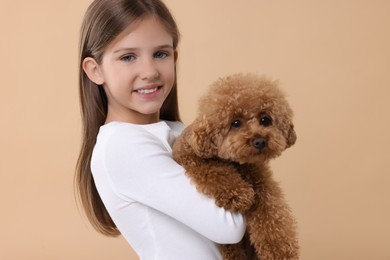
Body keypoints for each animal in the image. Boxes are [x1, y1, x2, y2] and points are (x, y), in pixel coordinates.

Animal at [173, 73, 298, 260]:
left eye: (265, 119)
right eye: (236, 123)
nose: (259, 141)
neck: (237, 163)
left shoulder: (261, 180)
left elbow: (272, 214)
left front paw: (279, 251)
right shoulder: (190, 158)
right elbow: (215, 171)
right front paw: (238, 194)